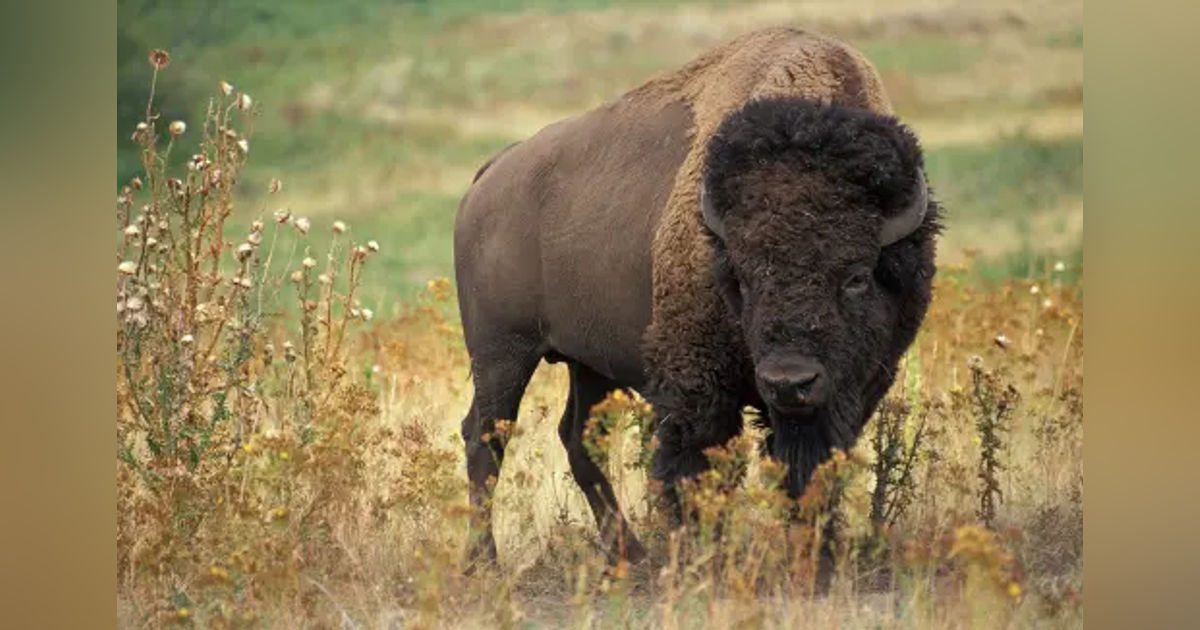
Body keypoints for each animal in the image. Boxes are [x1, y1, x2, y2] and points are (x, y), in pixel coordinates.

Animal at [453, 27, 940, 566]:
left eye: (856, 276)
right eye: (742, 277)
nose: (789, 382)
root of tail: (492, 173)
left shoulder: (852, 388)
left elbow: (811, 468)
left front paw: (816, 554)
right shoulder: (698, 387)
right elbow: (696, 468)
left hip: (589, 363)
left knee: (578, 438)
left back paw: (631, 555)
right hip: (502, 353)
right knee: (486, 436)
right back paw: (485, 561)